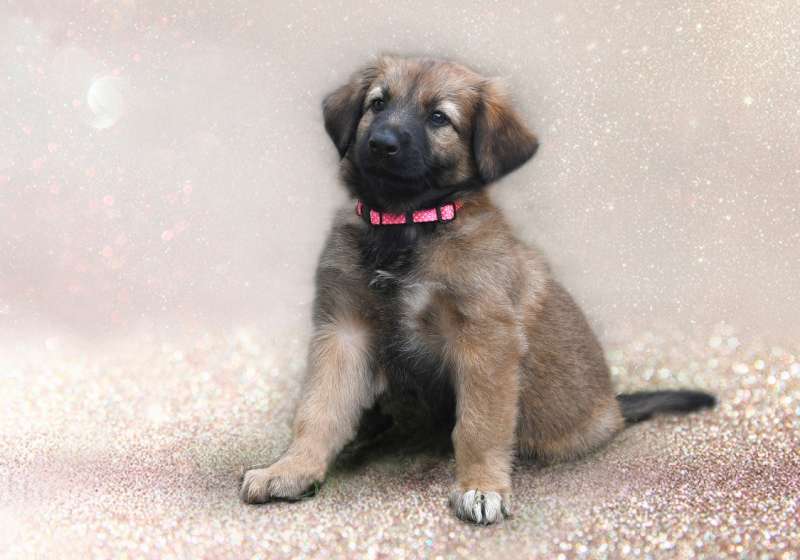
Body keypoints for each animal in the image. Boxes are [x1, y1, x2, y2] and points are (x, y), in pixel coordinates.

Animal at [240, 55, 715, 524]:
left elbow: (478, 425)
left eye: (438, 117)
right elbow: (319, 410)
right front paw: (292, 469)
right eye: (378, 103)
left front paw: (481, 487)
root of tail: (616, 406)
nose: (381, 143)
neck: (405, 224)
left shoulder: (485, 339)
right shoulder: (343, 330)